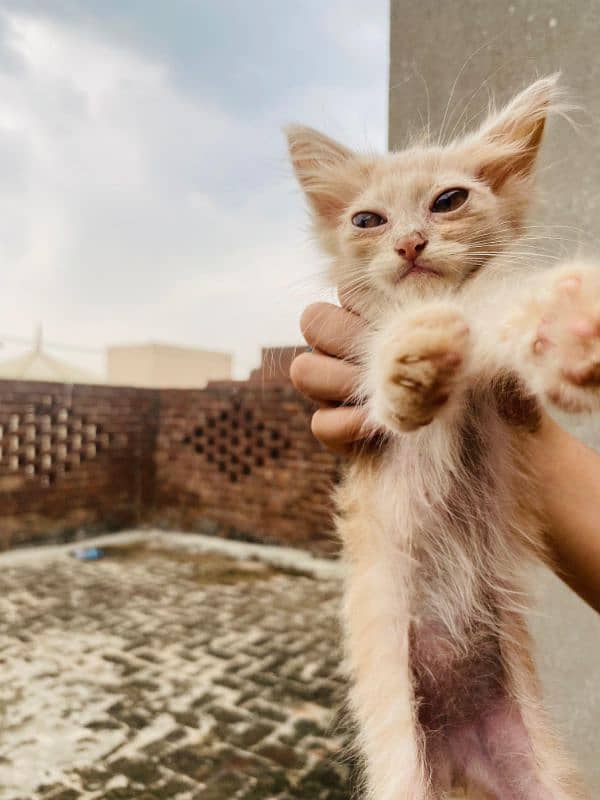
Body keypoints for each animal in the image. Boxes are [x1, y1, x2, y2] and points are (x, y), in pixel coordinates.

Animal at [286, 76, 592, 800]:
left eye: (449, 201)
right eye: (367, 220)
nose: (410, 244)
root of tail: (461, 755)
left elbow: (500, 316)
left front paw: (562, 330)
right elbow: (386, 370)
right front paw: (411, 366)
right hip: (404, 770)